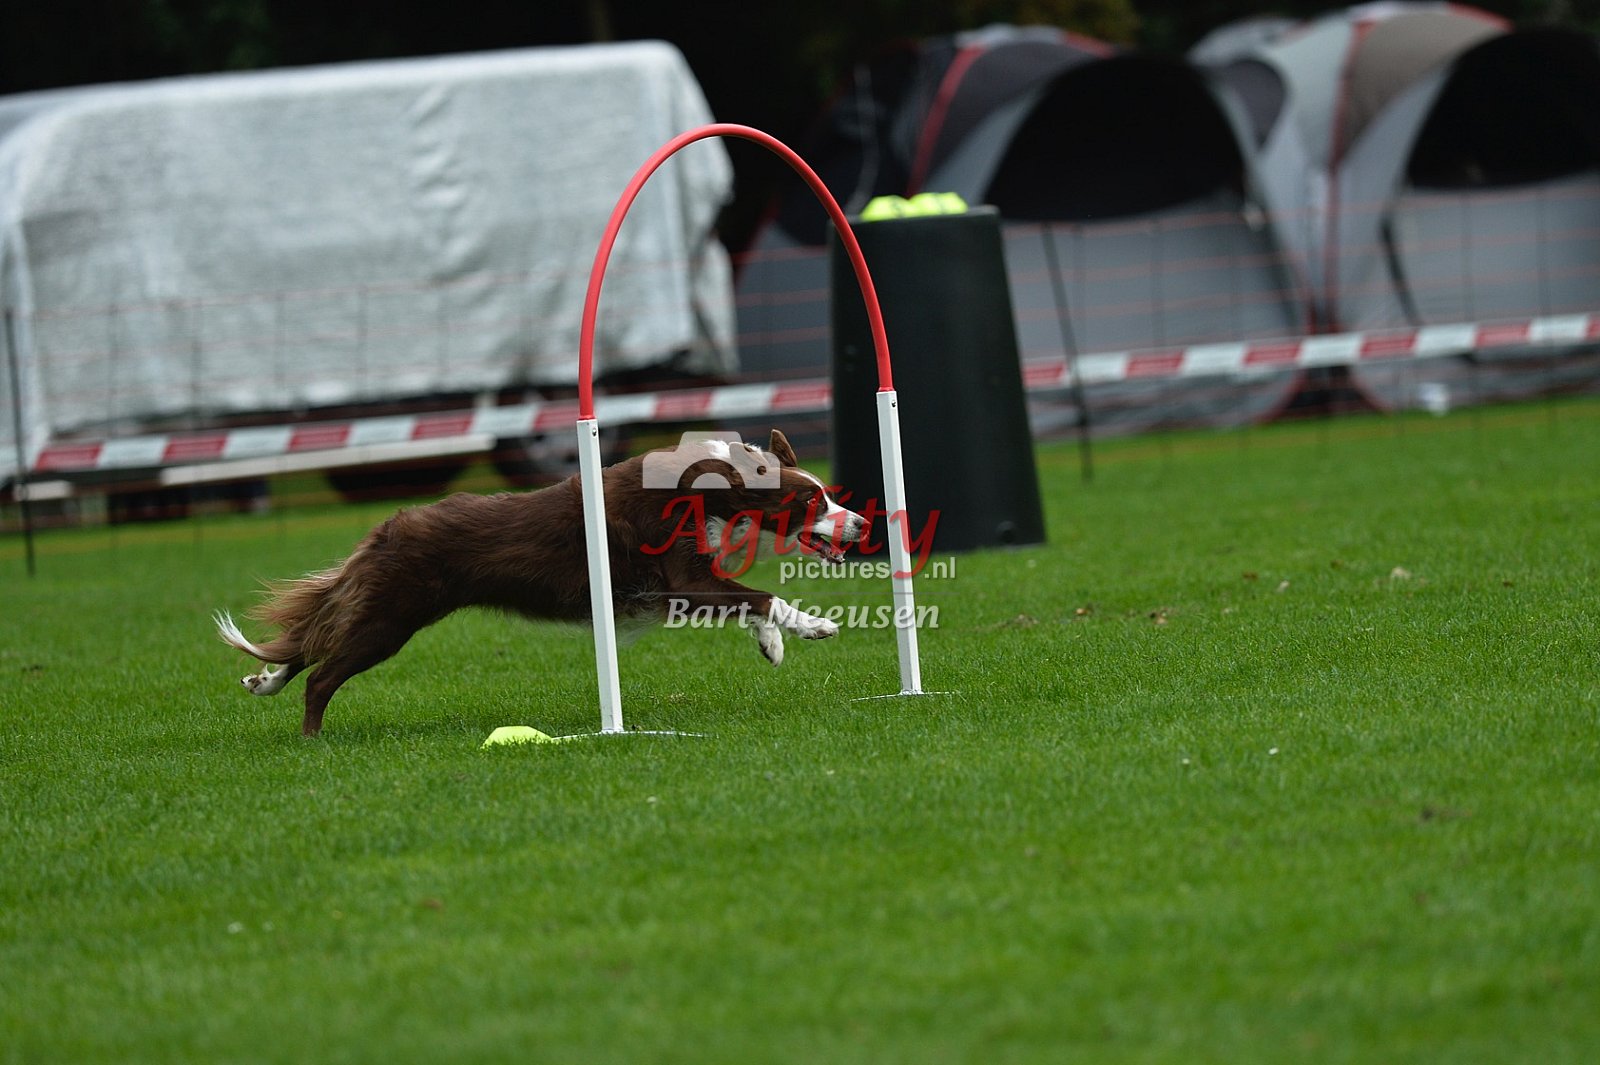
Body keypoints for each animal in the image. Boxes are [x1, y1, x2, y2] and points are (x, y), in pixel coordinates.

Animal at [216, 429, 866, 736]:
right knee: (321, 673)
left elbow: (751, 604)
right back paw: (311, 739)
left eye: (829, 495)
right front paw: (815, 627)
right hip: (389, 619)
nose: (861, 523)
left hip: (380, 610)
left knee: (308, 644)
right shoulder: (682, 577)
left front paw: (772, 645)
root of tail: (391, 525)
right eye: (813, 501)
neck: (711, 488)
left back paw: (261, 682)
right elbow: (763, 596)